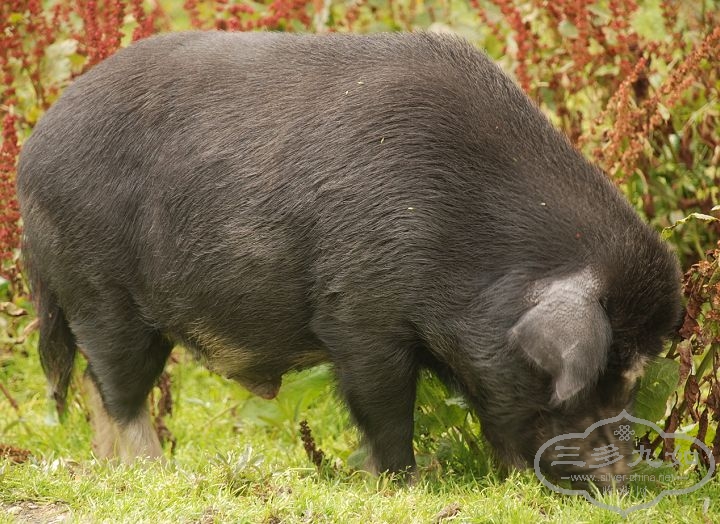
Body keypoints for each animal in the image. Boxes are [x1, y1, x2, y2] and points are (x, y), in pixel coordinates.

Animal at [16, 31, 682, 483]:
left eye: (634, 376)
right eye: (603, 371)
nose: (620, 481)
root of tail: (31, 152)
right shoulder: (360, 316)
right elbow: (384, 408)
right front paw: (404, 481)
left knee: (98, 388)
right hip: (99, 293)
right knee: (118, 388)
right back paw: (158, 472)